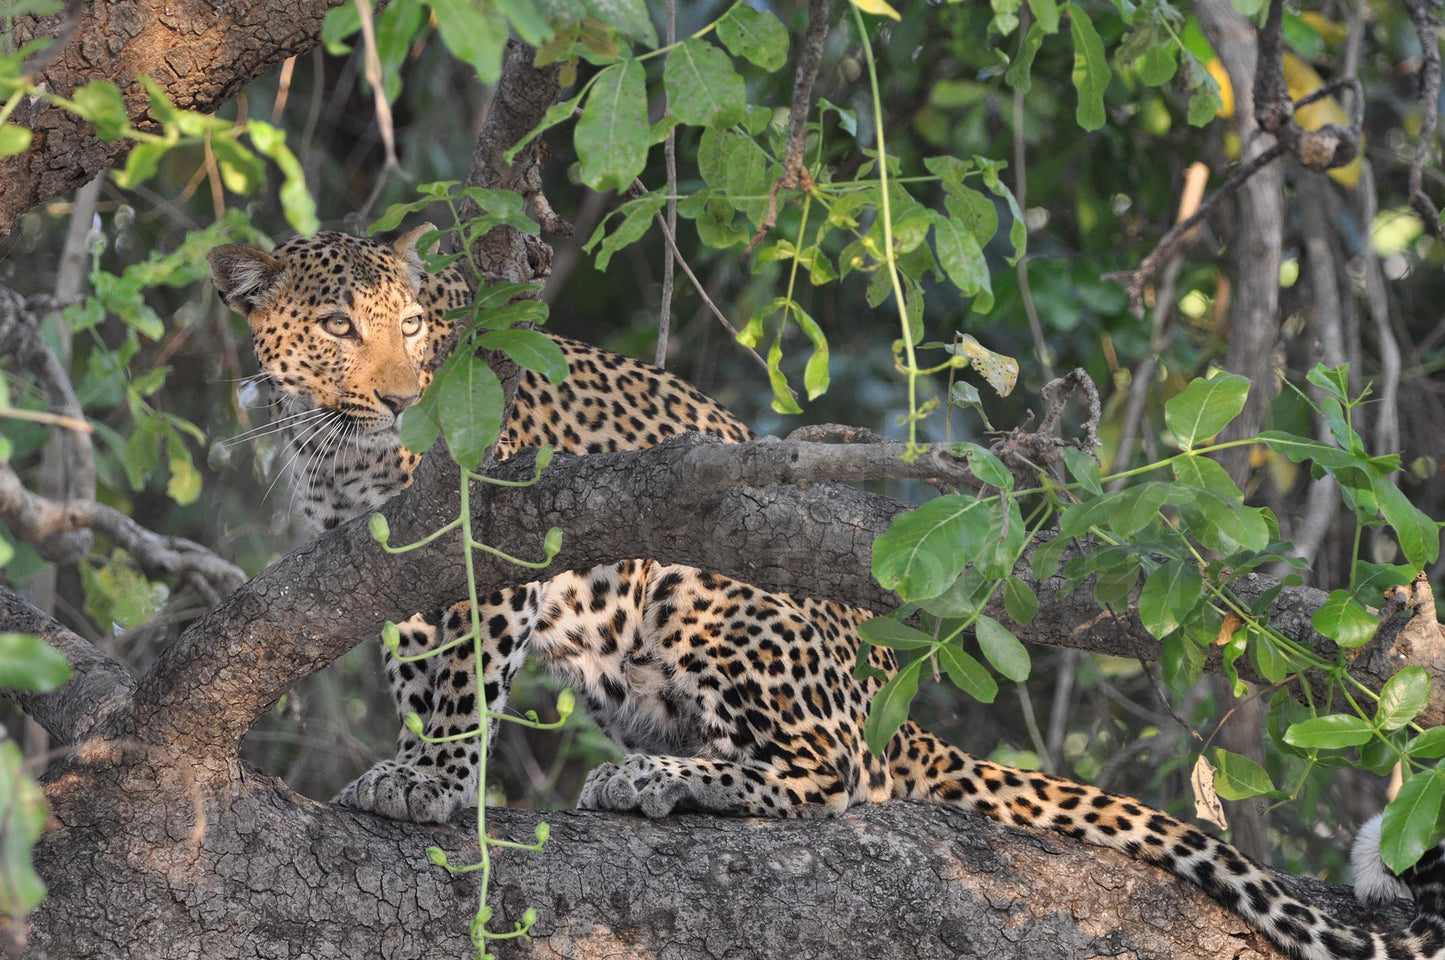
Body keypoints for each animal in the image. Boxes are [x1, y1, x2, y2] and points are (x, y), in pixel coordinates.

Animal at [210, 226, 1445, 960]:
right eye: (339, 327)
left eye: (415, 326)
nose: (403, 394)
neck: (342, 452)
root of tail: (890, 701)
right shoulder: (379, 567)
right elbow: (418, 665)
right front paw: (418, 764)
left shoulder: (496, 548)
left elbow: (462, 685)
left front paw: (430, 782)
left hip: (716, 600)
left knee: (833, 778)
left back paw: (660, 783)